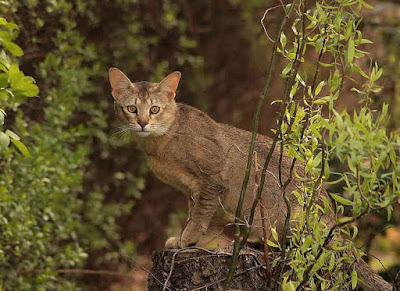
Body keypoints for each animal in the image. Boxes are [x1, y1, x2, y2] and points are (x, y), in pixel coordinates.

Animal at [108, 69, 392, 291]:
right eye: (132, 108)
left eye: (154, 109)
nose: (142, 122)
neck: (162, 141)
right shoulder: (192, 189)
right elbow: (192, 214)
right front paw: (186, 239)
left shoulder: (211, 180)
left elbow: (198, 217)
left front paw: (185, 240)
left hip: (297, 218)